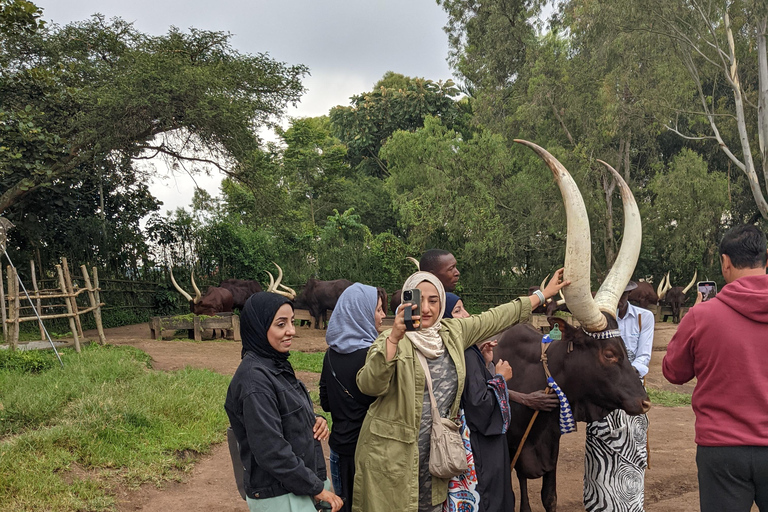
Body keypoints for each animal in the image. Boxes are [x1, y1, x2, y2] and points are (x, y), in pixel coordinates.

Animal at [496, 142, 652, 512]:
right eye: (608, 354)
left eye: (626, 349)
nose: (645, 403)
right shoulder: (514, 456)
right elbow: (522, 501)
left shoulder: (549, 453)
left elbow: (549, 498)